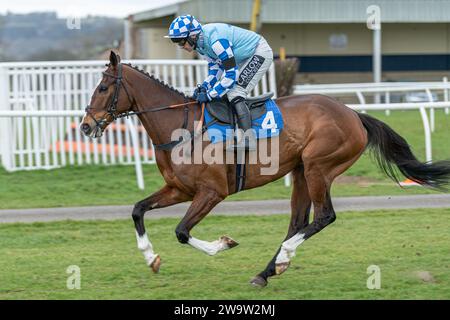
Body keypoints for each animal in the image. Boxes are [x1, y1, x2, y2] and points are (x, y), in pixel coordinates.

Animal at [79, 52, 448, 288]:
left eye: (102, 88)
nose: (85, 126)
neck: (180, 127)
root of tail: (354, 114)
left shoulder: (212, 192)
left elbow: (182, 231)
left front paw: (223, 244)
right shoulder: (179, 189)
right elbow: (137, 209)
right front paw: (151, 258)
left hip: (319, 168)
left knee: (324, 216)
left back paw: (283, 257)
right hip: (301, 171)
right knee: (299, 221)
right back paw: (267, 271)